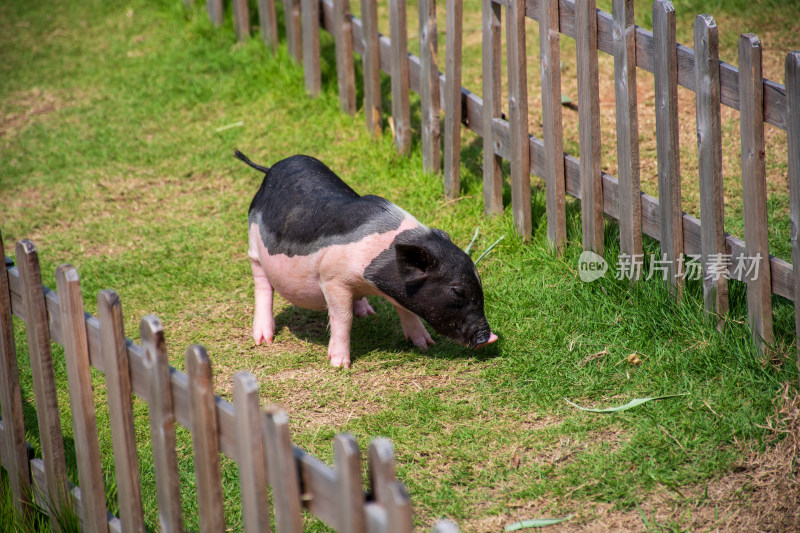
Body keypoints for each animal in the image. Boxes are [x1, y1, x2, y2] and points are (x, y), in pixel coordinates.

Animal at [238, 149, 496, 366]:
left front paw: (426, 345)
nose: (490, 337)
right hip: (253, 246)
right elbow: (342, 319)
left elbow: (407, 310)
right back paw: (263, 340)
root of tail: (271, 169)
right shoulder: (331, 279)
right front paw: (339, 365)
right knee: (262, 284)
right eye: (458, 291)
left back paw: (368, 312)